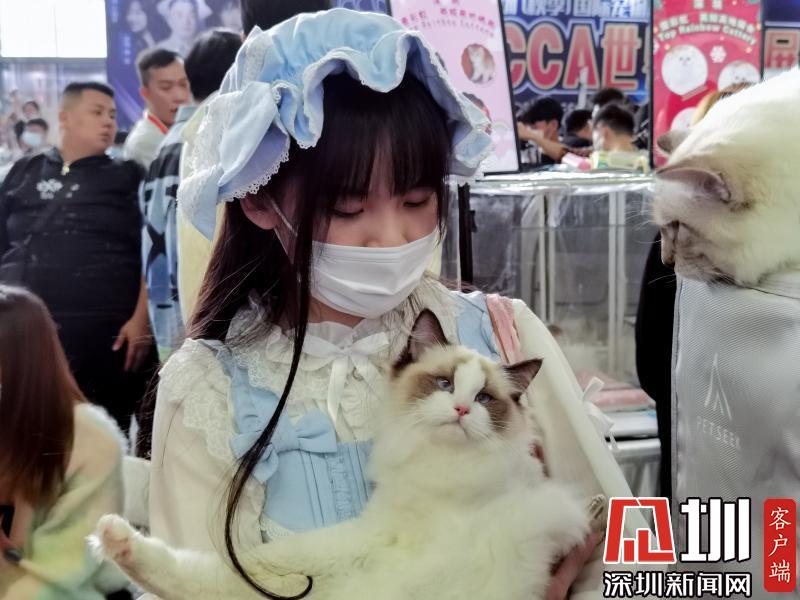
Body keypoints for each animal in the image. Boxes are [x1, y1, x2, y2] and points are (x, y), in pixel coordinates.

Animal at [92, 309, 594, 600]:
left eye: (486, 399)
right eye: (444, 384)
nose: (462, 409)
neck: (446, 482)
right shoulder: (365, 542)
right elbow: (256, 565)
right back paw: (115, 537)